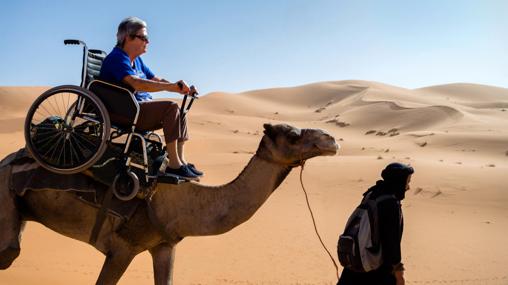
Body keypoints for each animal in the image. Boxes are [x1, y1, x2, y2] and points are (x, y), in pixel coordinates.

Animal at [0, 123, 342, 282]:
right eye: (293, 134)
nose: (331, 140)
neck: (175, 201)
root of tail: (7, 160)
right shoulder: (122, 248)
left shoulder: (164, 246)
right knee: (8, 253)